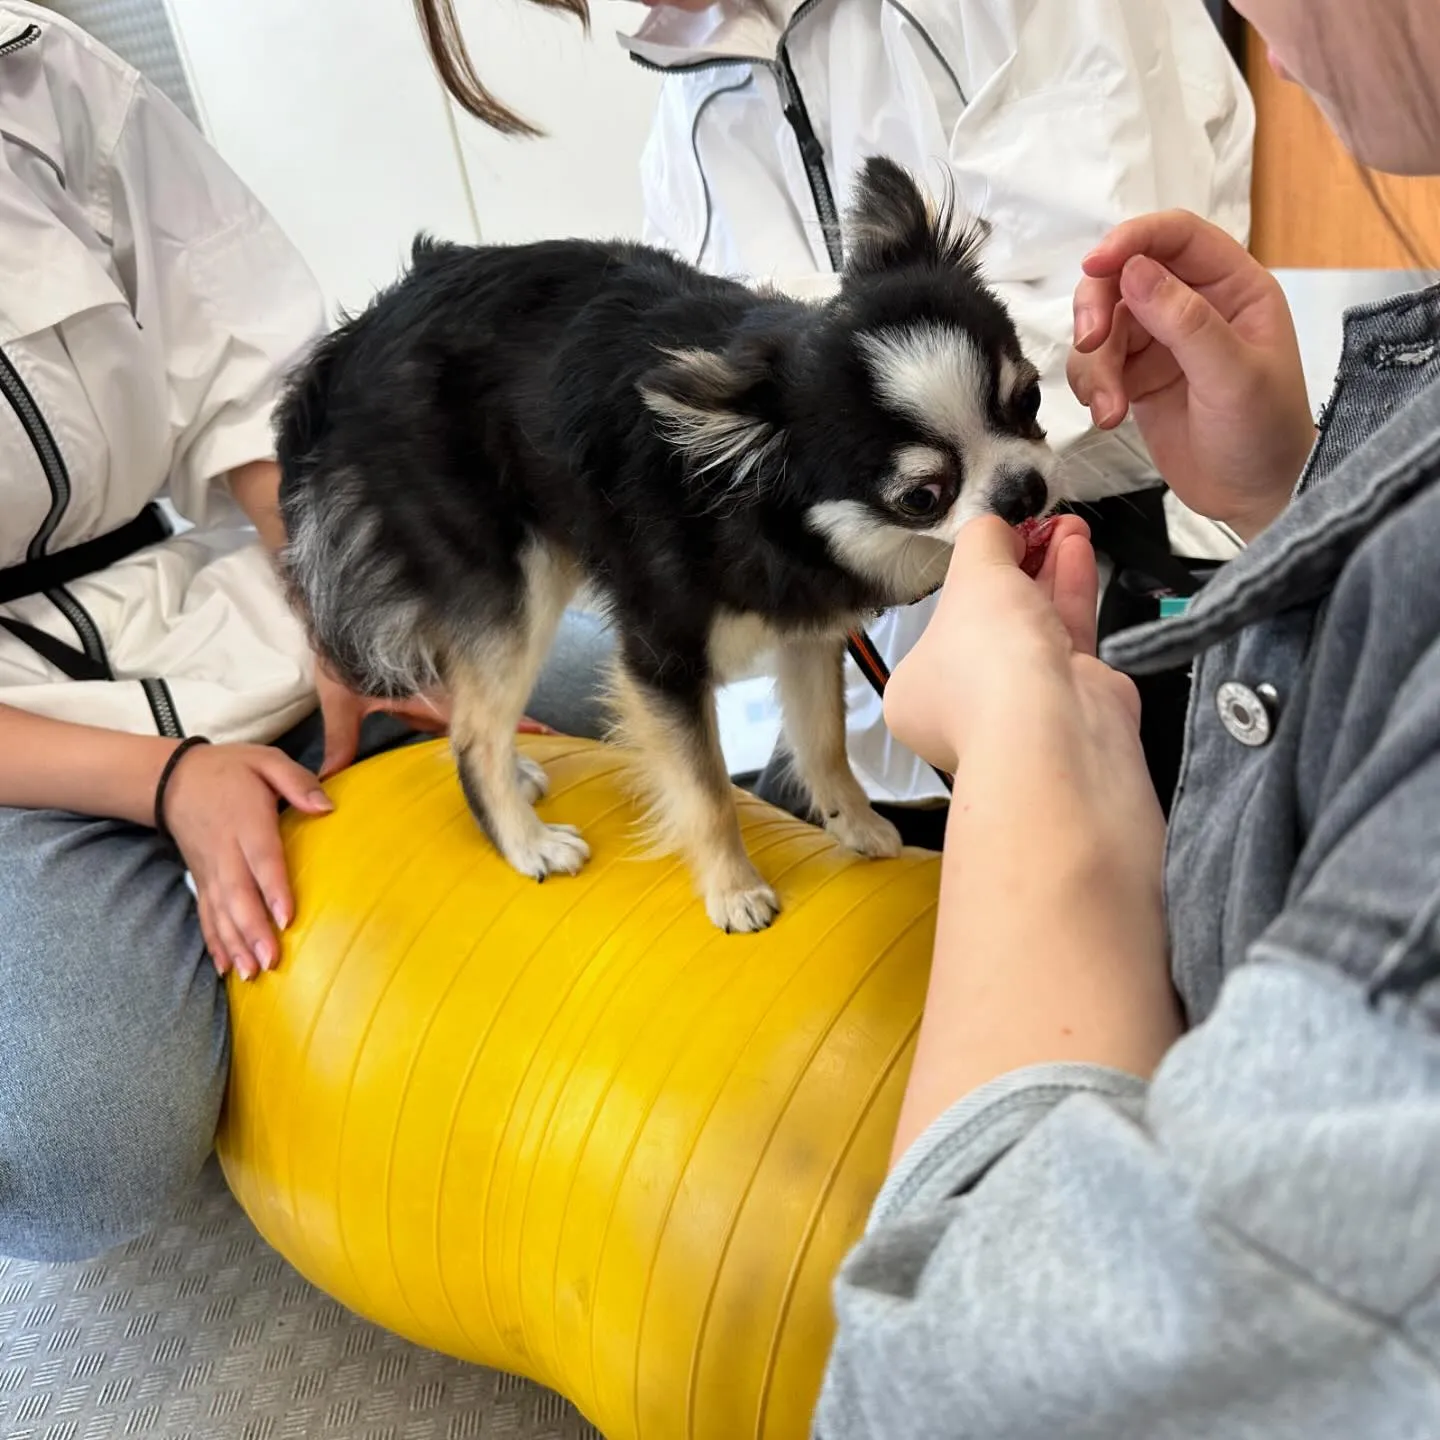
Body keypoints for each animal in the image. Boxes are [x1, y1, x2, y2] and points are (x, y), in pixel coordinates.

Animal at [275, 160, 1059, 933]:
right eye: (922, 496)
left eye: (1031, 399)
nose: (1025, 491)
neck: (758, 496)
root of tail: (358, 335)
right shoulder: (662, 662)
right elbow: (705, 788)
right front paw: (734, 889)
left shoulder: (806, 628)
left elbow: (824, 739)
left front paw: (855, 825)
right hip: (513, 585)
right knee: (472, 733)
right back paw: (526, 843)